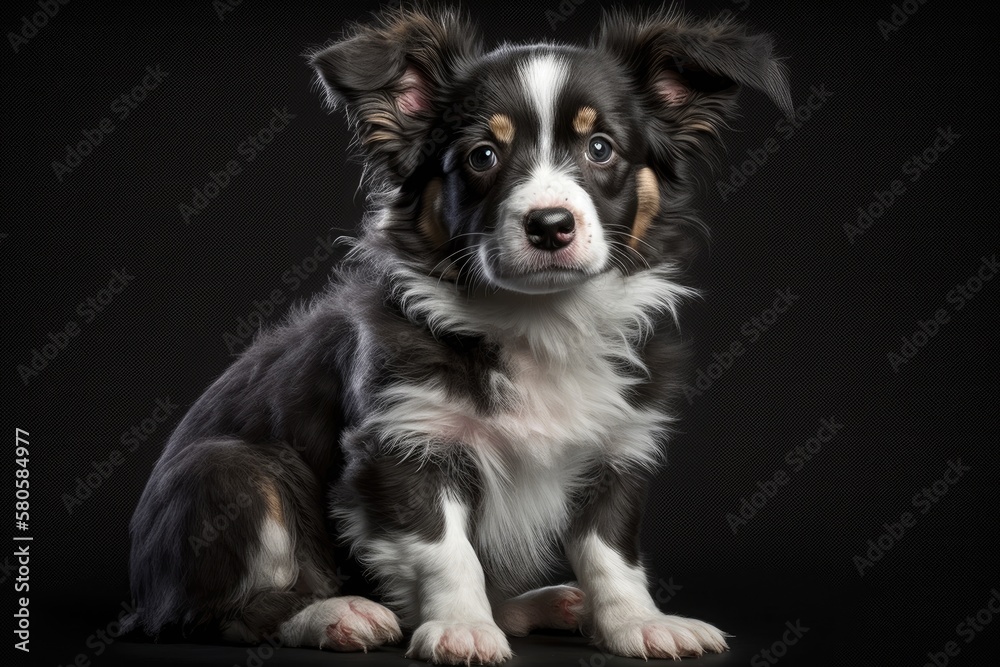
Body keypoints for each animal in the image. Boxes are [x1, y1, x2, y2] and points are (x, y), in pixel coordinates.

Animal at [123, 3, 788, 664]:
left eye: (600, 148)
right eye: (482, 157)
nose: (551, 225)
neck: (538, 322)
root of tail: (144, 601)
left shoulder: (618, 444)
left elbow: (611, 551)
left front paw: (637, 623)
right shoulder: (403, 444)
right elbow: (446, 552)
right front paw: (461, 628)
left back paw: (537, 606)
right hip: (228, 471)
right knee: (227, 612)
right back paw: (336, 615)